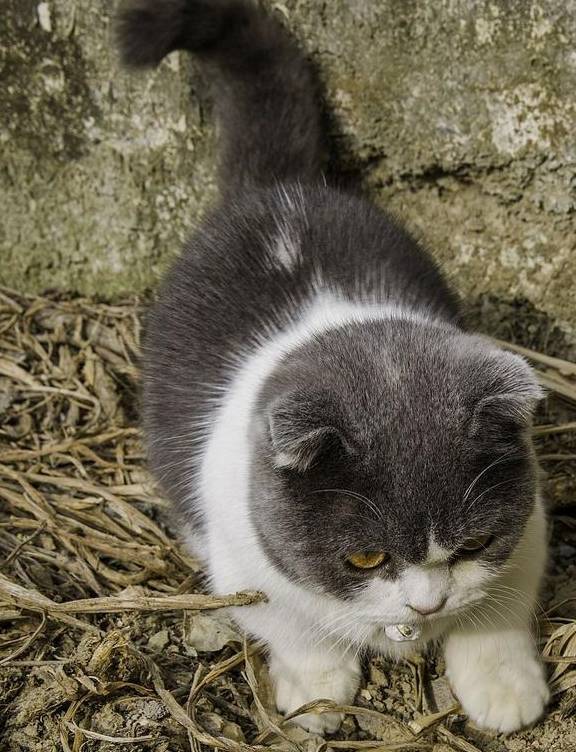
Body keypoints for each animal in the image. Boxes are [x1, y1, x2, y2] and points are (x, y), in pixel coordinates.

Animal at [116, 0, 548, 736]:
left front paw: (504, 686)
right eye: (366, 557)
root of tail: (279, 189)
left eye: (471, 544)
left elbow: (499, 608)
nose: (426, 605)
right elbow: (296, 629)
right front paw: (316, 691)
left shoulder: (529, 529)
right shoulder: (247, 562)